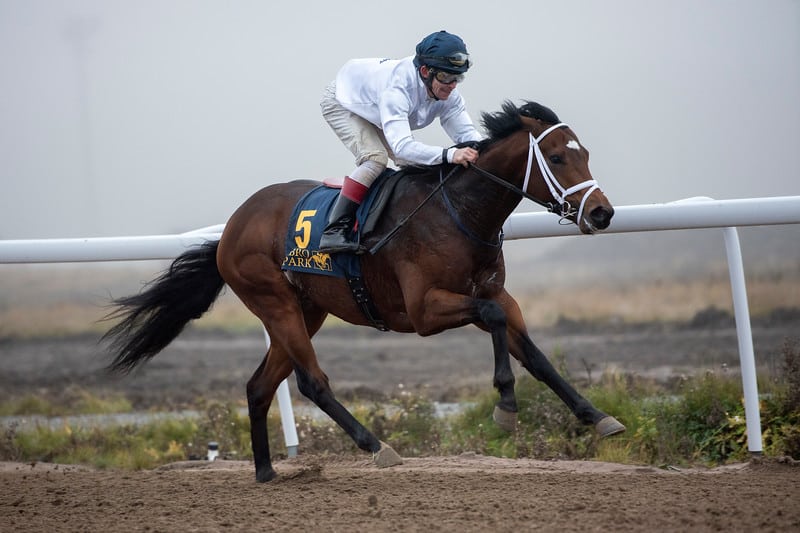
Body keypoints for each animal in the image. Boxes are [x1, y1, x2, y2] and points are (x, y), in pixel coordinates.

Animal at [103, 100, 624, 482]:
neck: (459, 212)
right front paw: (506, 405)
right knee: (312, 382)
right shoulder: (424, 312)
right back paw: (375, 445)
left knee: (259, 386)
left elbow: (534, 354)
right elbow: (494, 324)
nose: (602, 213)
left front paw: (596, 415)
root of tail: (231, 227)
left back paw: (267, 472)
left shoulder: (497, 295)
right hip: (274, 301)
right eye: (556, 157)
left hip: (306, 309)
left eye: (585, 153)